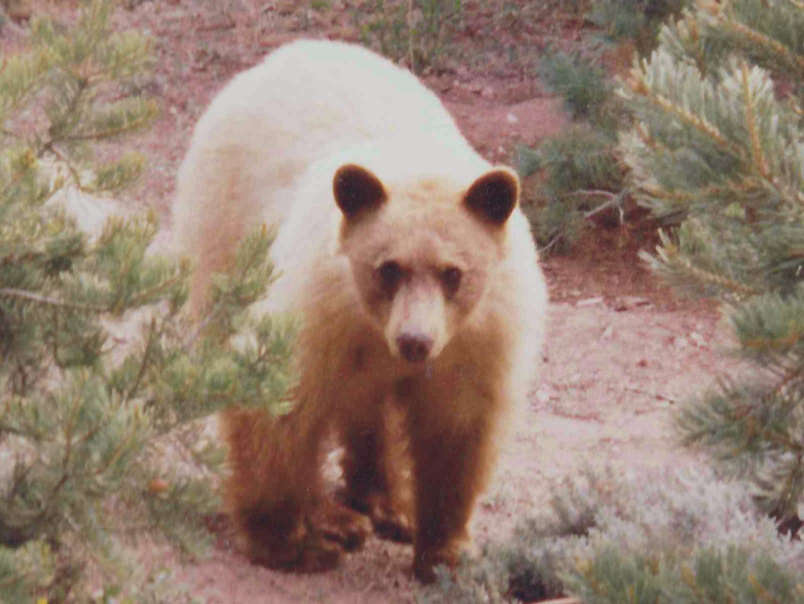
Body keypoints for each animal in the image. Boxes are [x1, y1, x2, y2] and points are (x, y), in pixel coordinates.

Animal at [173, 40, 548, 584]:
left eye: (453, 272)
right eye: (387, 268)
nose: (415, 341)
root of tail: (285, 54)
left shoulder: (478, 341)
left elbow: (457, 432)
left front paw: (444, 549)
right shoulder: (317, 310)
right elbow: (277, 405)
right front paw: (292, 540)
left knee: (367, 408)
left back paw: (387, 505)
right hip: (226, 231)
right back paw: (342, 521)